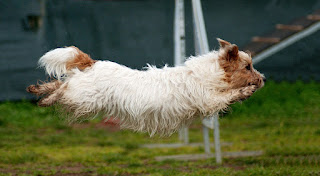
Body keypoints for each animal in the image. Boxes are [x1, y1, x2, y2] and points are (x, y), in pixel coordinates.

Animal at [26, 38, 264, 136]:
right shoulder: (209, 100)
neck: (209, 74)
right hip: (82, 97)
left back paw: (38, 91)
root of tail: (94, 63)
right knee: (63, 88)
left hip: (81, 92)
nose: (262, 79)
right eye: (247, 67)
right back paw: (45, 98)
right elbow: (230, 95)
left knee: (61, 82)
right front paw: (246, 91)